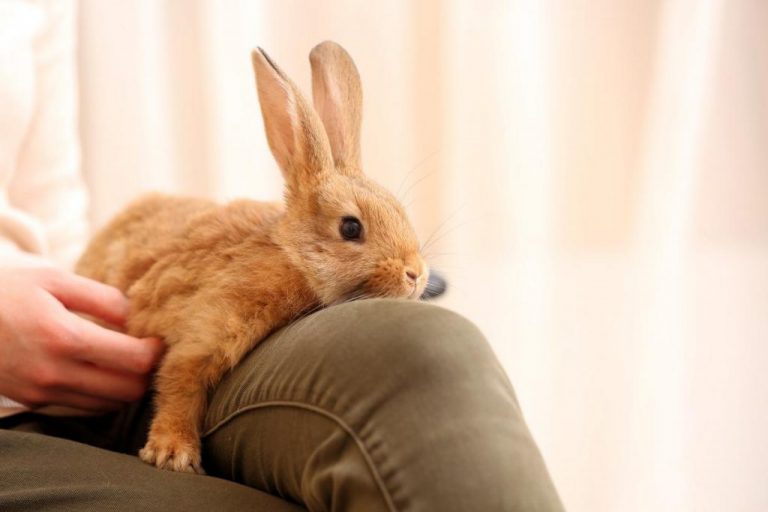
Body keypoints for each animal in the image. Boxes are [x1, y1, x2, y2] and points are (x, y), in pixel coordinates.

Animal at [74, 41, 429, 474]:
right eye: (350, 228)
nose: (416, 274)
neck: (291, 258)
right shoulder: (207, 327)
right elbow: (179, 383)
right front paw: (173, 453)